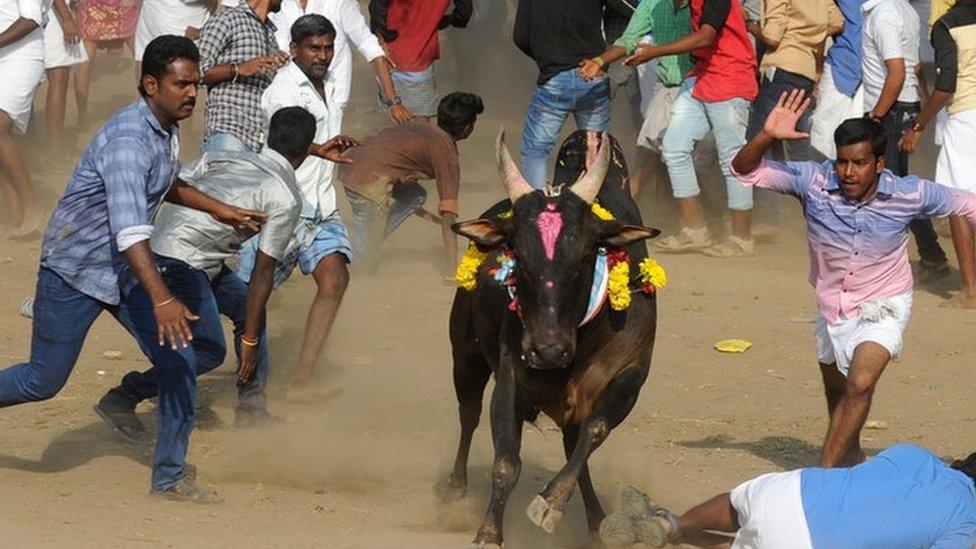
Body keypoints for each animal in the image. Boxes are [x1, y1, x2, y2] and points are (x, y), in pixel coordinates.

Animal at [440, 130, 656, 548]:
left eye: (586, 255)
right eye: (519, 257)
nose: (548, 350)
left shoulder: (630, 375)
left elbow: (592, 434)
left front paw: (553, 502)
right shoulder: (510, 376)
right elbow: (506, 462)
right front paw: (489, 531)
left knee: (575, 444)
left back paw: (594, 520)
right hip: (465, 356)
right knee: (468, 414)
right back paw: (456, 486)